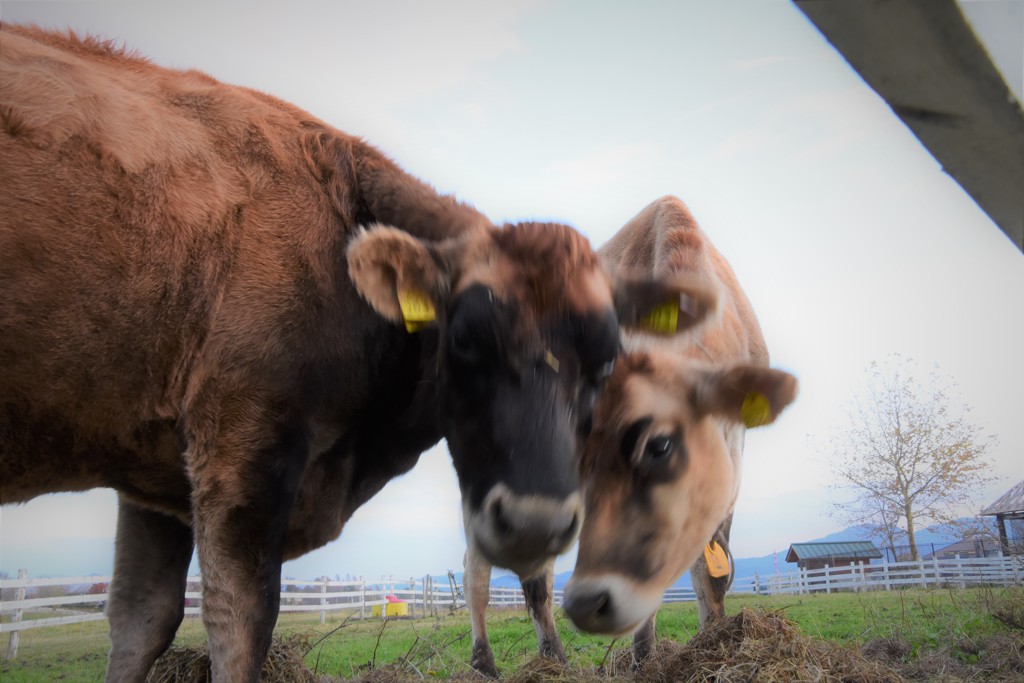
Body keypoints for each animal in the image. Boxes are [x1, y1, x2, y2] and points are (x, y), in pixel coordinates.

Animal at [0, 28, 708, 683]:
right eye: (463, 338)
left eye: (607, 361)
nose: (536, 524)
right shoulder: (240, 446)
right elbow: (239, 621)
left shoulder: (154, 475)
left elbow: (141, 619)